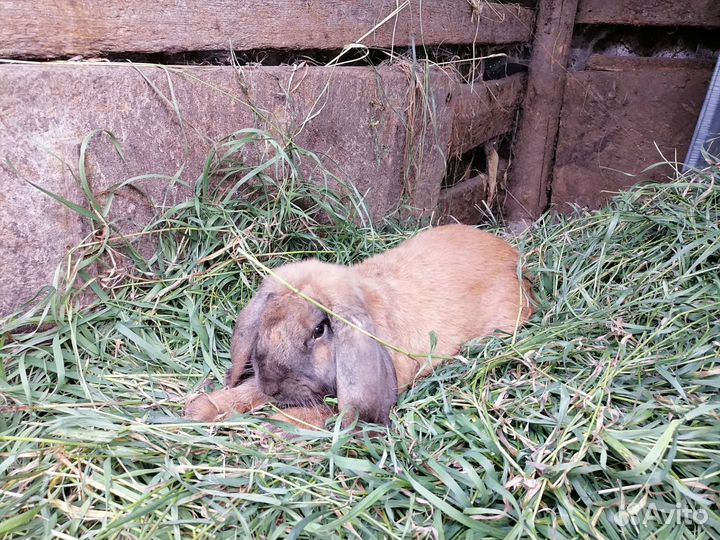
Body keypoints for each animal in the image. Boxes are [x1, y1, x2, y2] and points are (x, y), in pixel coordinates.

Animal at [184, 224, 533, 429]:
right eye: (266, 323)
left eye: (318, 330)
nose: (273, 387)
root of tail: (515, 260)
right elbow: (247, 391)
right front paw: (200, 409)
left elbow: (329, 411)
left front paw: (274, 426)